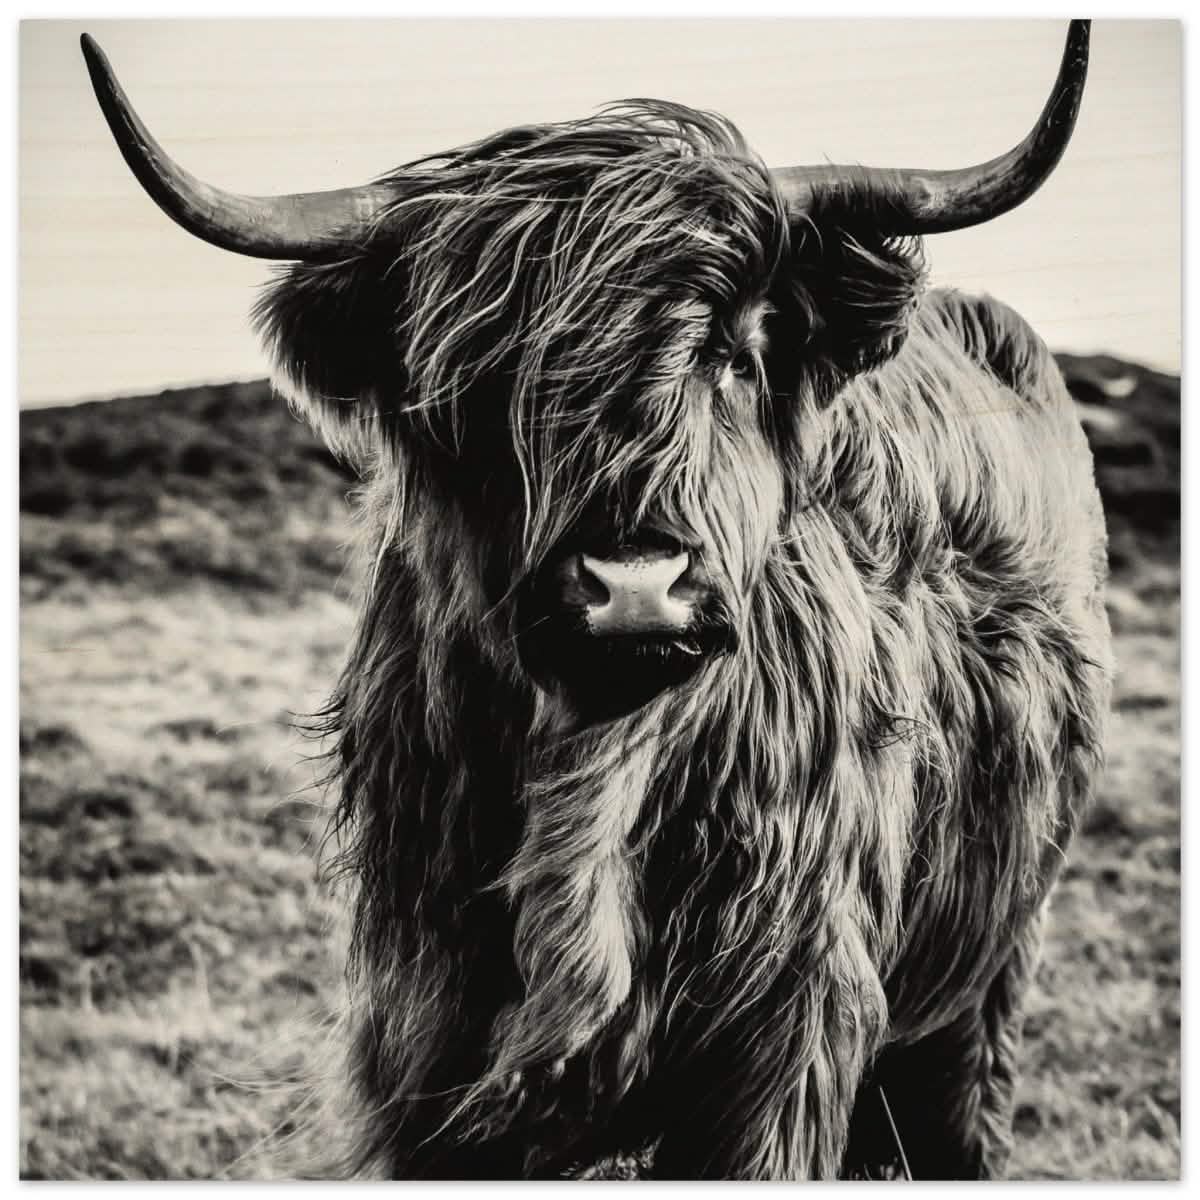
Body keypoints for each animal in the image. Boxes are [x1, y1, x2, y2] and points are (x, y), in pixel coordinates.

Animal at [82, 21, 1111, 1180]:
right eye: (481, 383)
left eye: (734, 354)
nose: (635, 587)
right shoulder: (428, 1042)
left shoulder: (782, 1043)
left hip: (990, 974)